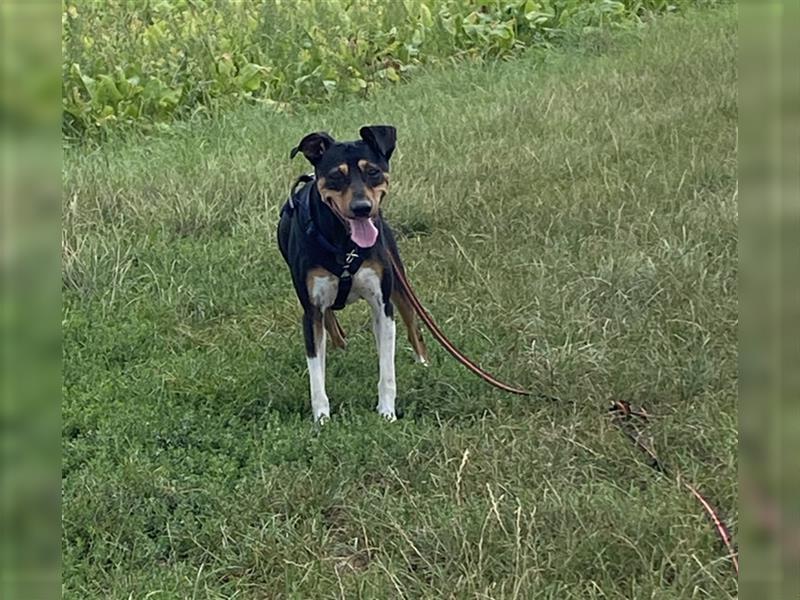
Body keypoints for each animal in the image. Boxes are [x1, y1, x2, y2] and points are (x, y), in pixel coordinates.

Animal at [278, 124, 428, 422]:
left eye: (373, 171)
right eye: (337, 175)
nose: (362, 208)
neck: (344, 244)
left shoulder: (383, 304)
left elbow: (387, 370)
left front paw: (386, 412)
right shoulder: (311, 310)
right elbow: (316, 374)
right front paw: (322, 419)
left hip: (400, 284)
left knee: (412, 324)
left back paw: (422, 362)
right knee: (329, 322)